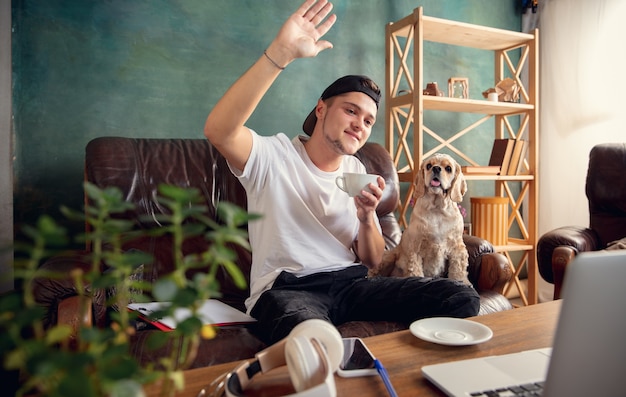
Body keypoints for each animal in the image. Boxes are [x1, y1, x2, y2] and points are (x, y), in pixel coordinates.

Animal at [370, 152, 468, 284]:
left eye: (448, 168)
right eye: (429, 166)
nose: (436, 168)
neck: (437, 209)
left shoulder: (457, 247)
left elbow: (458, 272)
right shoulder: (416, 248)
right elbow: (416, 271)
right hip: (388, 256)